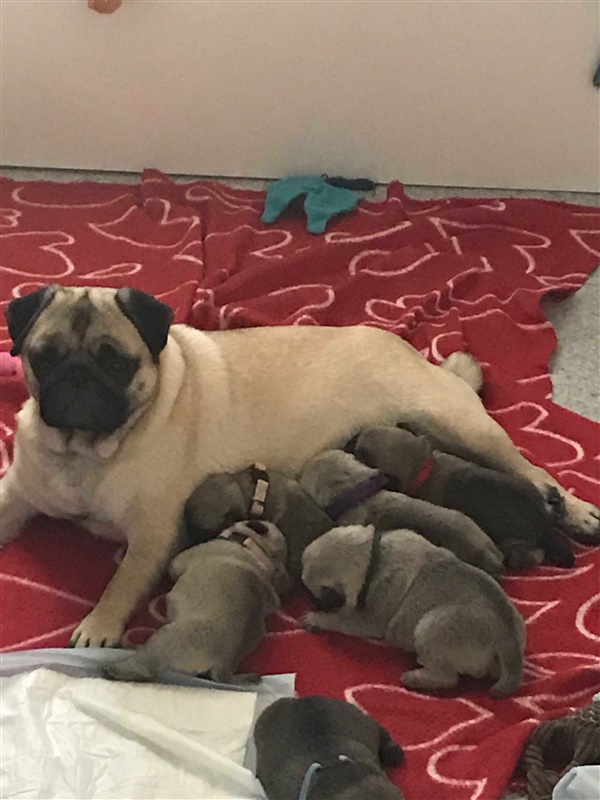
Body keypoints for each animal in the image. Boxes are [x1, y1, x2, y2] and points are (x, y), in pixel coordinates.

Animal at [301, 524, 526, 698]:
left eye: (318, 598)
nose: (315, 604)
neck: (376, 555)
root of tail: (508, 639)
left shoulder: (368, 620)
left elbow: (341, 619)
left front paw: (316, 618)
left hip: (429, 626)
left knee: (448, 678)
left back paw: (415, 677)